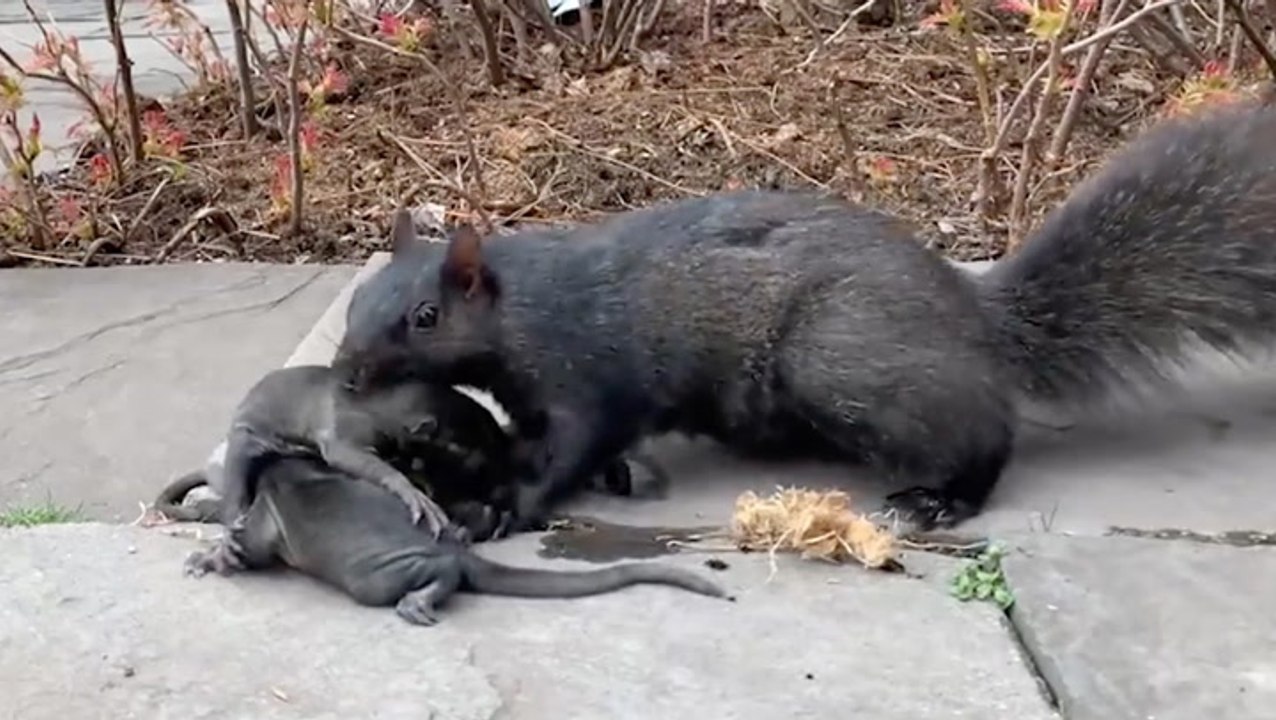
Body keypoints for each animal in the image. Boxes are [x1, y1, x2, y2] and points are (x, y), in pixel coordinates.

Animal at [333, 99, 1276, 533]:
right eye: (356, 299)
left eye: (425, 315)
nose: (345, 372)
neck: (527, 304)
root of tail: (968, 310)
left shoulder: (584, 376)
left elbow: (573, 447)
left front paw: (509, 505)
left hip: (839, 356)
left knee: (982, 429)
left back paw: (944, 499)